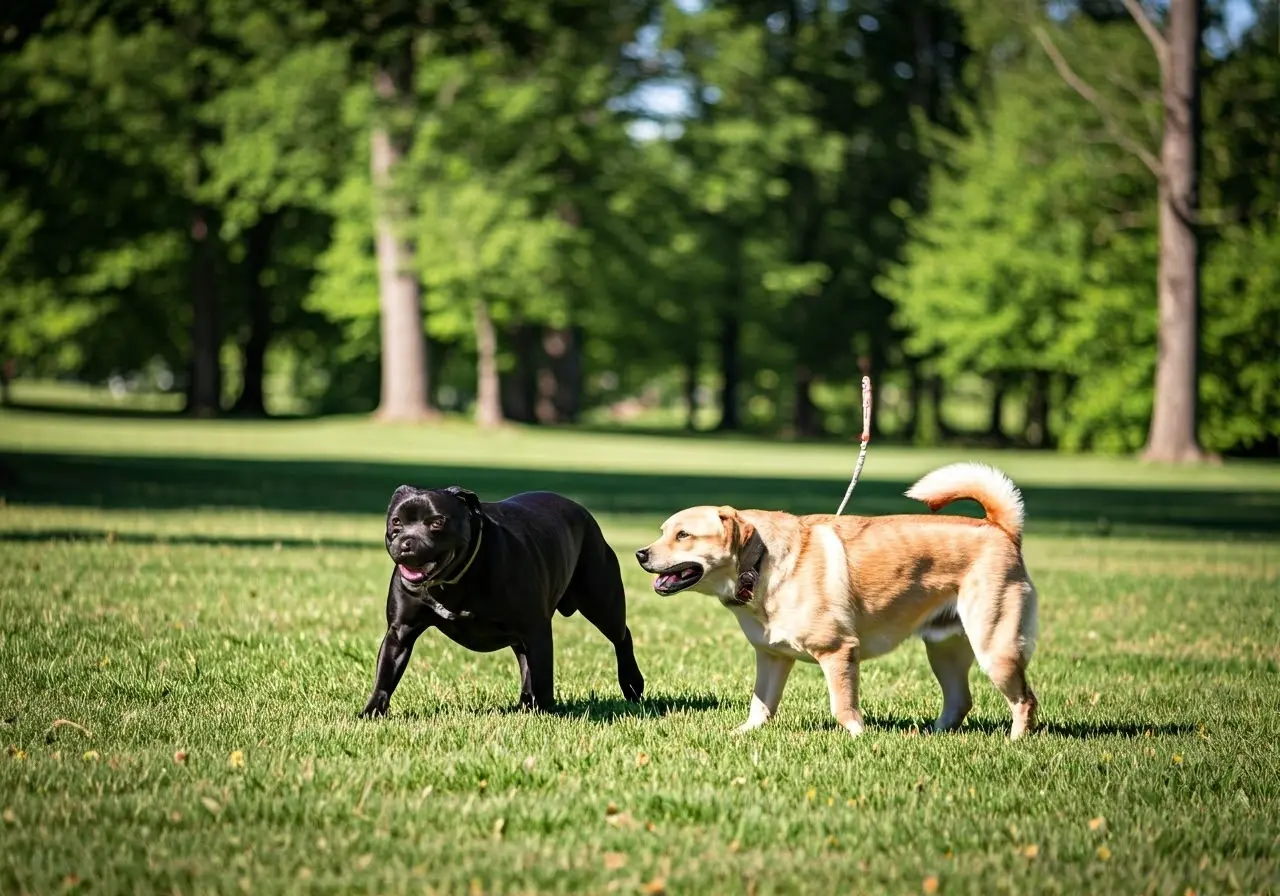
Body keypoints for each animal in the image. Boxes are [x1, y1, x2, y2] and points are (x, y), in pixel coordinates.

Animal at [358, 486, 640, 716]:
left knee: (622, 636)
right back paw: (526, 701)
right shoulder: (400, 632)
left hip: (601, 603)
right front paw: (371, 712)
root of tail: (582, 511)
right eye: (396, 521)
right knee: (525, 661)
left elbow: (543, 672)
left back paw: (632, 683)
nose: (406, 542)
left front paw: (545, 710)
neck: (453, 579)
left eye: (436, 522)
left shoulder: (536, 629)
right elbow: (386, 674)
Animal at [632, 465, 1039, 737]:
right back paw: (930, 735)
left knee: (1025, 700)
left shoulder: (839, 652)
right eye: (663, 532)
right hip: (945, 649)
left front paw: (860, 738)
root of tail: (1000, 529)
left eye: (684, 535)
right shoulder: (772, 657)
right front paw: (742, 734)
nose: (639, 554)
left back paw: (1015, 743)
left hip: (995, 648)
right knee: (959, 701)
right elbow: (761, 705)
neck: (760, 565)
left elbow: (842, 707)